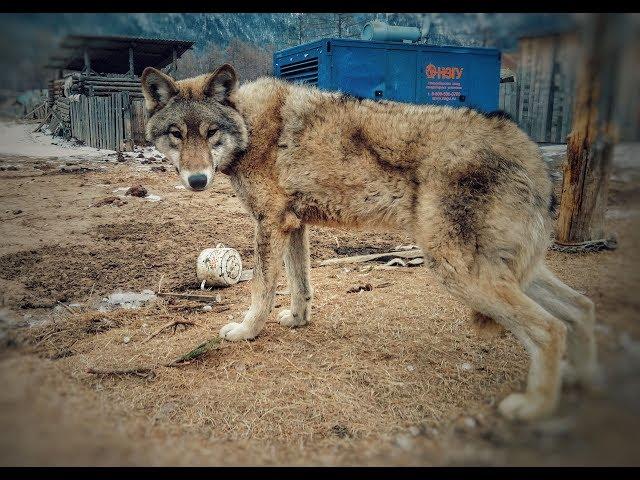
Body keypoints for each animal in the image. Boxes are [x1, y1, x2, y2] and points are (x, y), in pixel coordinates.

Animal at [140, 63, 600, 420]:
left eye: (210, 133)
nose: (197, 180)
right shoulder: (294, 225)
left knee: (550, 329)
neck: (250, 126)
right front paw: (298, 320)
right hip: (507, 271)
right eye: (177, 134)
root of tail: (531, 152)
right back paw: (579, 382)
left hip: (458, 271)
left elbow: (261, 289)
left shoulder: (269, 224)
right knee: (581, 309)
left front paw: (246, 331)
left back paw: (535, 407)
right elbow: (300, 285)